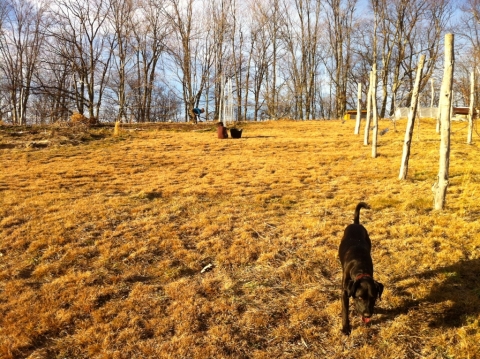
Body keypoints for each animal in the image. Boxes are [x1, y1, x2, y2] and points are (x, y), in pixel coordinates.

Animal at [340, 204, 384, 336]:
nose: (367, 315)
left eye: (373, 298)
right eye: (359, 297)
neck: (360, 268)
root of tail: (356, 224)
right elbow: (345, 311)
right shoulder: (344, 292)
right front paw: (346, 328)